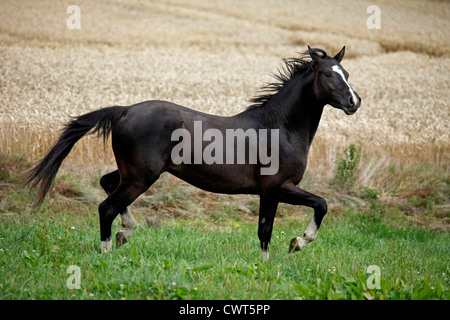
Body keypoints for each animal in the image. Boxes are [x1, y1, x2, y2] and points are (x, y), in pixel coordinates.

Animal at [25, 46, 362, 258]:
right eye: (328, 75)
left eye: (346, 72)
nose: (354, 102)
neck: (280, 126)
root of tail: (125, 110)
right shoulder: (277, 187)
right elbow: (308, 210)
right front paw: (296, 244)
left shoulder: (274, 191)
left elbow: (269, 229)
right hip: (141, 177)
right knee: (106, 207)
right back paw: (108, 251)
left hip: (131, 172)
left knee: (107, 184)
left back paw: (125, 232)